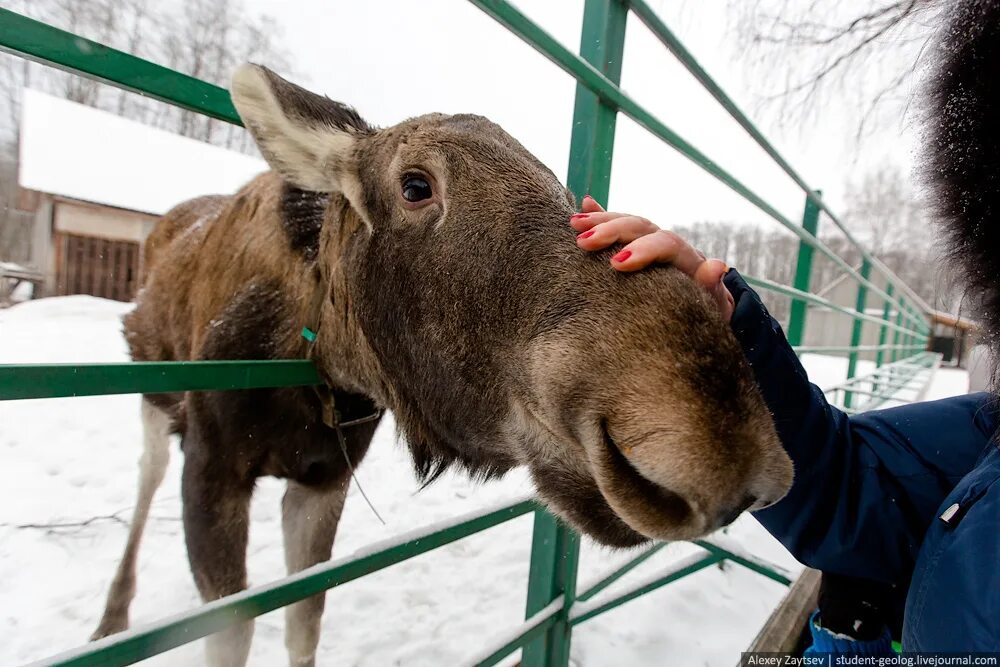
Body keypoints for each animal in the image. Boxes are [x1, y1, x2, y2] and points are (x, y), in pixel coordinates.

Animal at [95, 64, 796, 667]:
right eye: (415, 185)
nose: (727, 443)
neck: (312, 362)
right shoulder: (213, 468)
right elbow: (233, 636)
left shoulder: (325, 479)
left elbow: (304, 624)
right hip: (155, 391)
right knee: (146, 472)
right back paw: (112, 617)